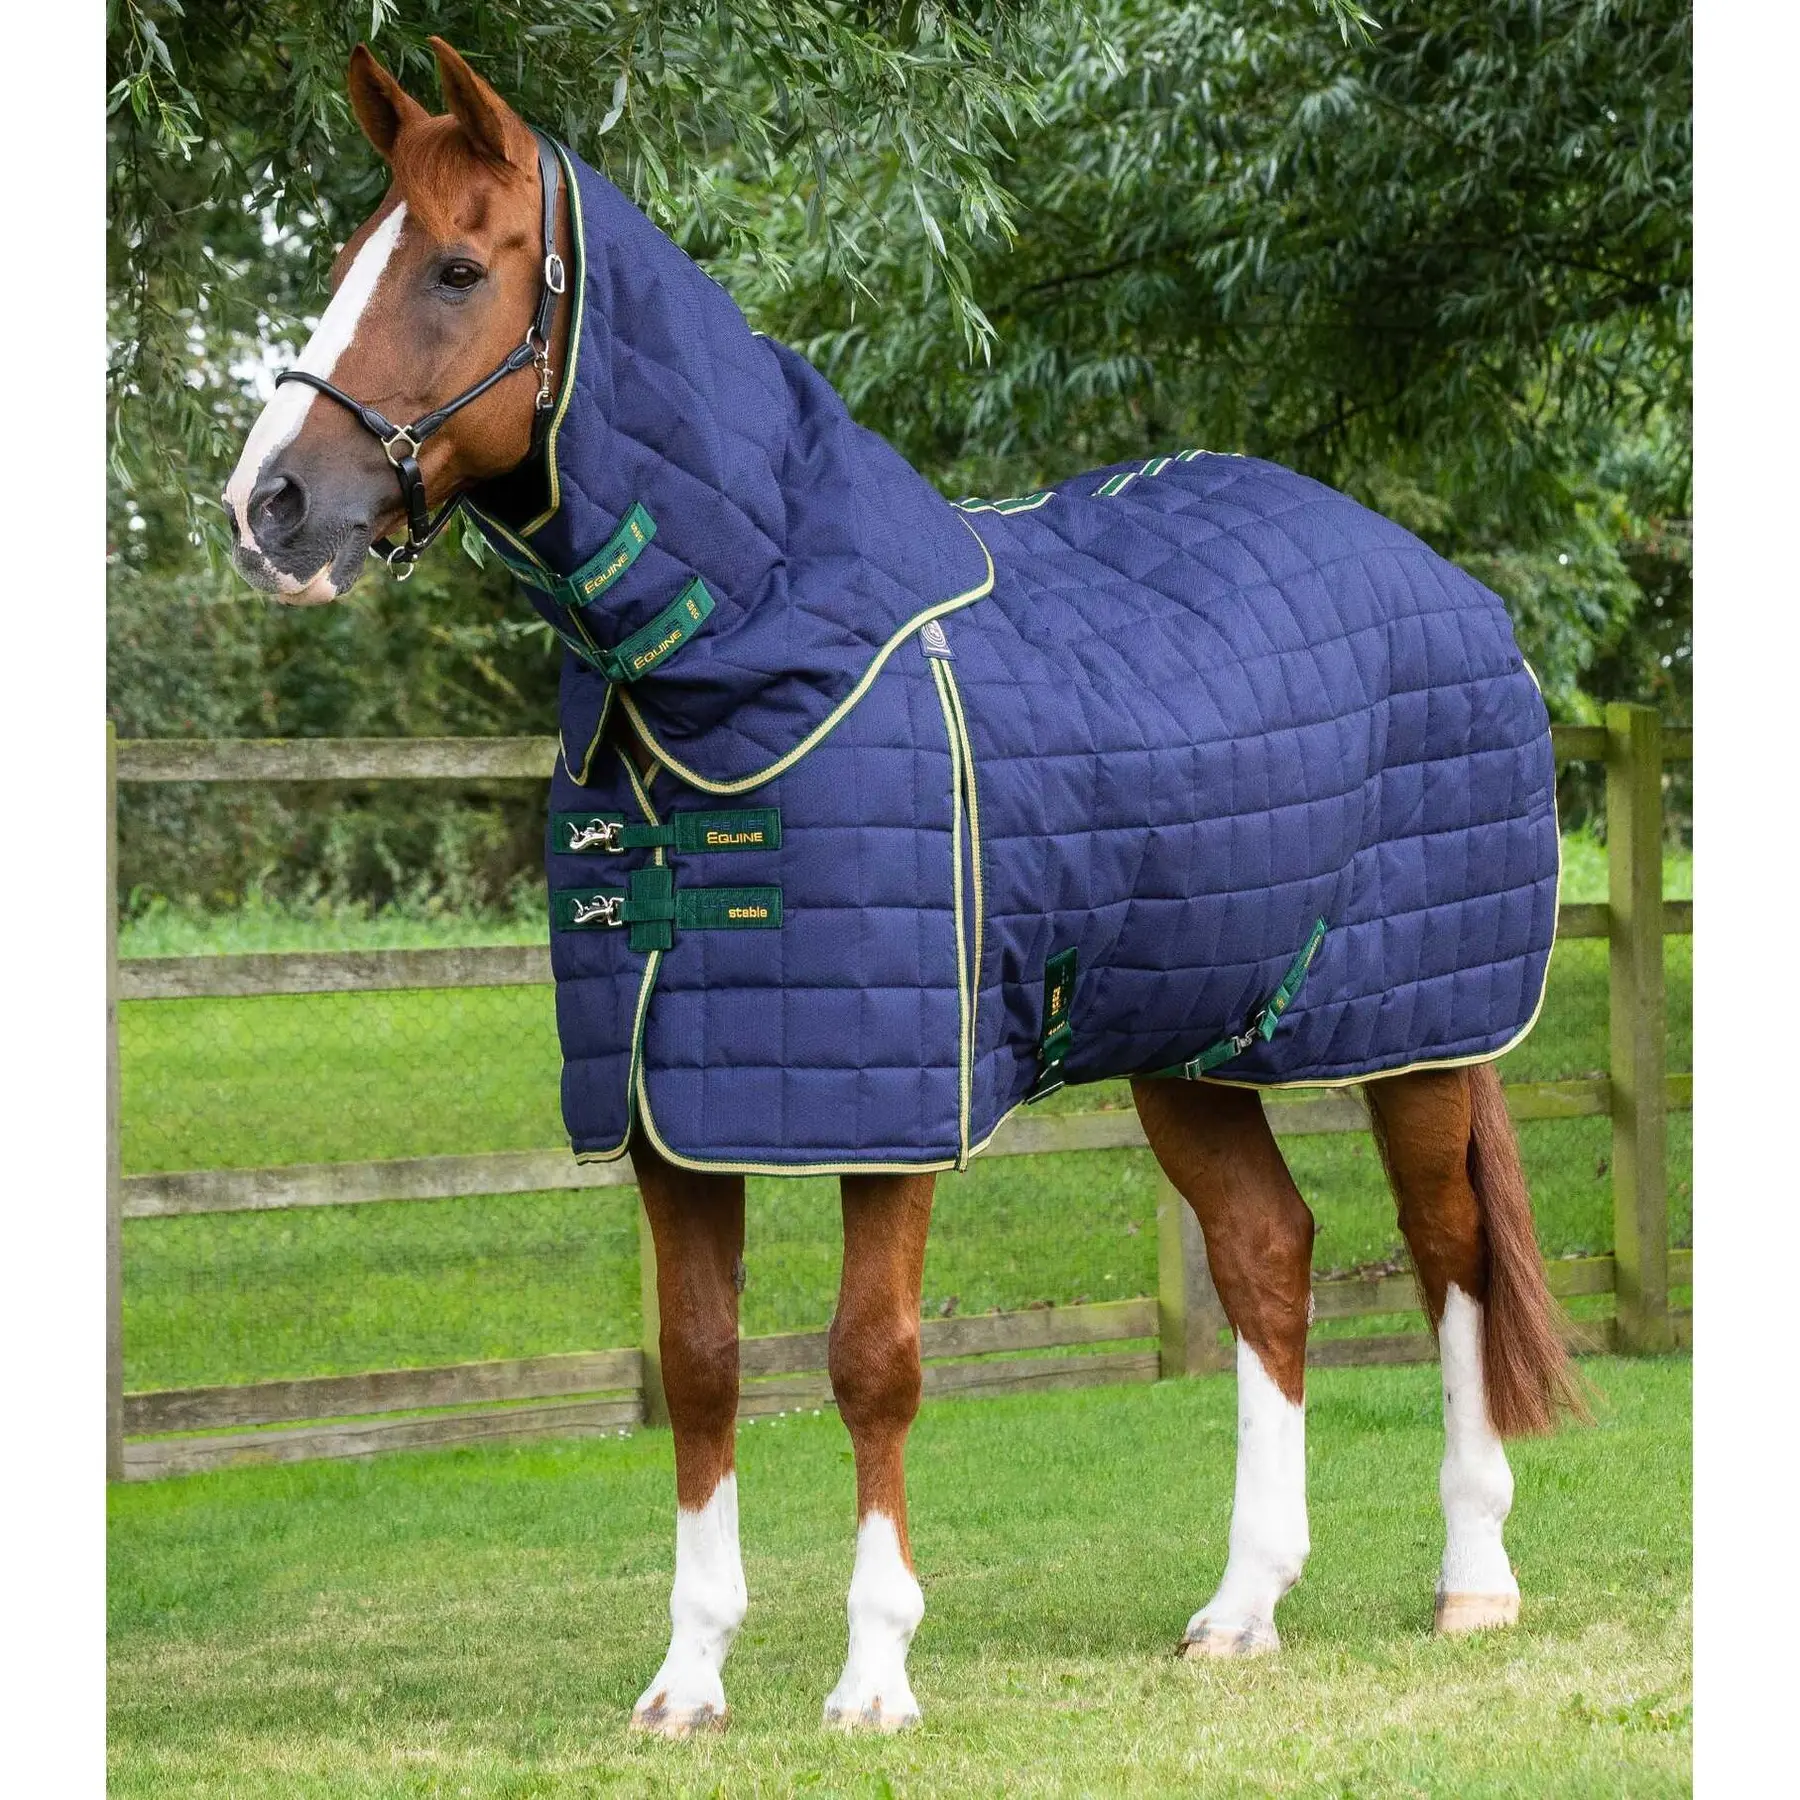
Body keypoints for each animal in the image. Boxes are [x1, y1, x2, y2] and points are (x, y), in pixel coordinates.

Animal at [223, 38, 1582, 1736]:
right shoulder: (679, 1107)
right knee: (1269, 1256)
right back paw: (1242, 1605)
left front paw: (874, 1674)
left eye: (458, 268)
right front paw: (688, 1682)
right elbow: (700, 1360)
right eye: (351, 257)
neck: (762, 659)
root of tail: (1459, 594)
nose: (268, 507)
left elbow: (871, 1360)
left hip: (1422, 1034)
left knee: (1451, 1260)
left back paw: (1475, 1579)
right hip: (1191, 1039)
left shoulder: (889, 1105)